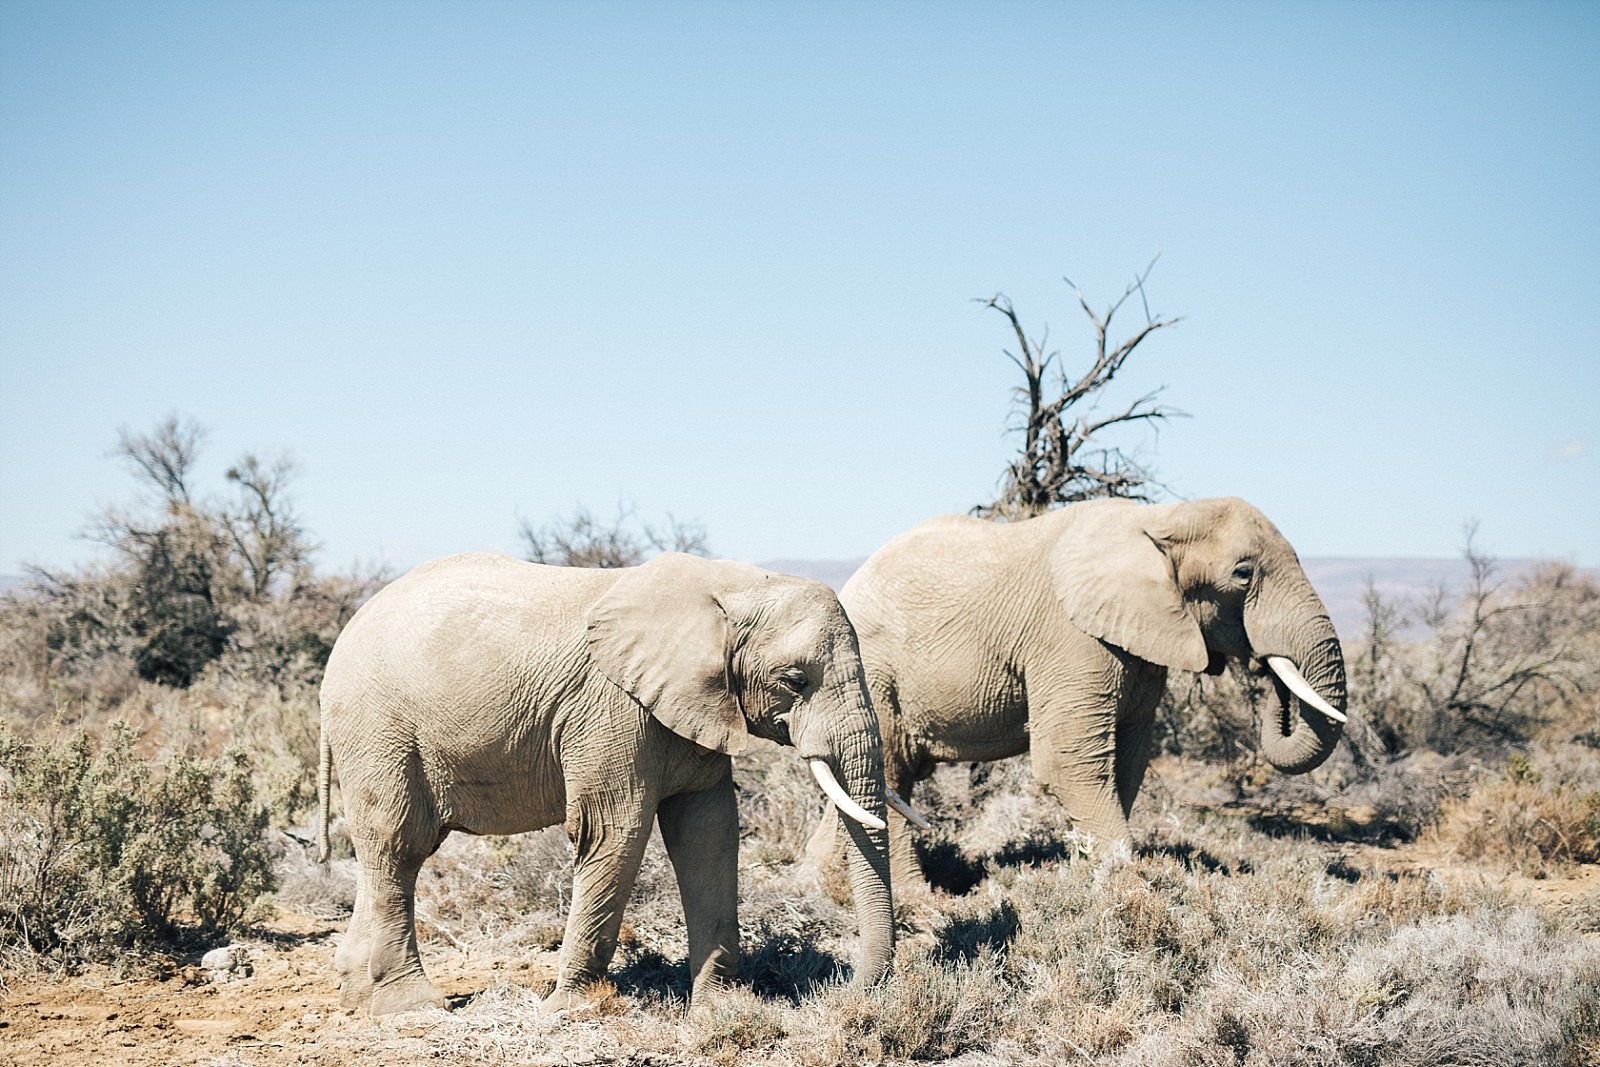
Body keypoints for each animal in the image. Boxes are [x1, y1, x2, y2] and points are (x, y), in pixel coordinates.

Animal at [315, 550, 902, 1017]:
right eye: (795, 680)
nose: (845, 991)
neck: (731, 585)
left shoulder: (696, 707)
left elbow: (708, 833)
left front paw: (723, 1007)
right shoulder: (612, 710)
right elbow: (613, 832)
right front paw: (570, 1010)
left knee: (394, 850)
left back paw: (354, 996)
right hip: (377, 729)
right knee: (399, 843)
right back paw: (409, 1007)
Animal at [812, 495, 1350, 889]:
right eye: (1242, 574)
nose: (1263, 665)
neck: (1158, 518)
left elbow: (1128, 759)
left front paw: (1083, 869)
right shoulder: (1070, 638)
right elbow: (1067, 759)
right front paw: (1117, 881)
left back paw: (815, 882)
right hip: (872, 673)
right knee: (893, 773)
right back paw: (915, 897)